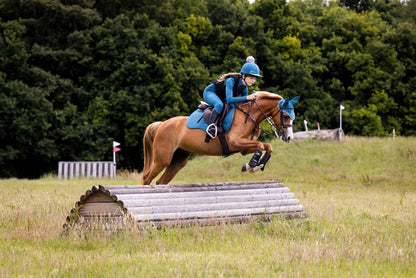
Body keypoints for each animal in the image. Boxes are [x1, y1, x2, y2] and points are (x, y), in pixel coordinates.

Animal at [141, 91, 298, 186]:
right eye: (285, 116)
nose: (289, 137)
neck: (250, 116)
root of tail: (161, 124)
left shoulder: (243, 147)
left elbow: (266, 147)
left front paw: (255, 165)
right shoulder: (235, 142)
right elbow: (260, 145)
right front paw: (252, 166)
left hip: (178, 161)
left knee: (160, 182)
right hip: (162, 159)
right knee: (146, 178)